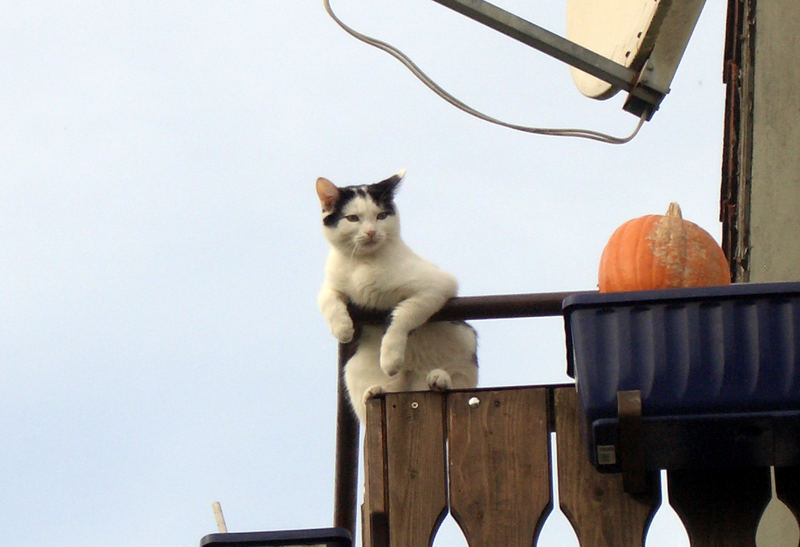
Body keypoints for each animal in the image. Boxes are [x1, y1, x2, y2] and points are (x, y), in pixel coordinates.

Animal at [316, 169, 478, 422]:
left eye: (381, 216)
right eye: (353, 218)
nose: (371, 232)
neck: (364, 263)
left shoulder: (436, 286)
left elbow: (401, 317)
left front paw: (390, 357)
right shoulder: (330, 284)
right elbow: (328, 301)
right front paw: (342, 328)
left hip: (464, 345)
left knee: (456, 384)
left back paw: (439, 380)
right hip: (354, 370)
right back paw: (375, 391)